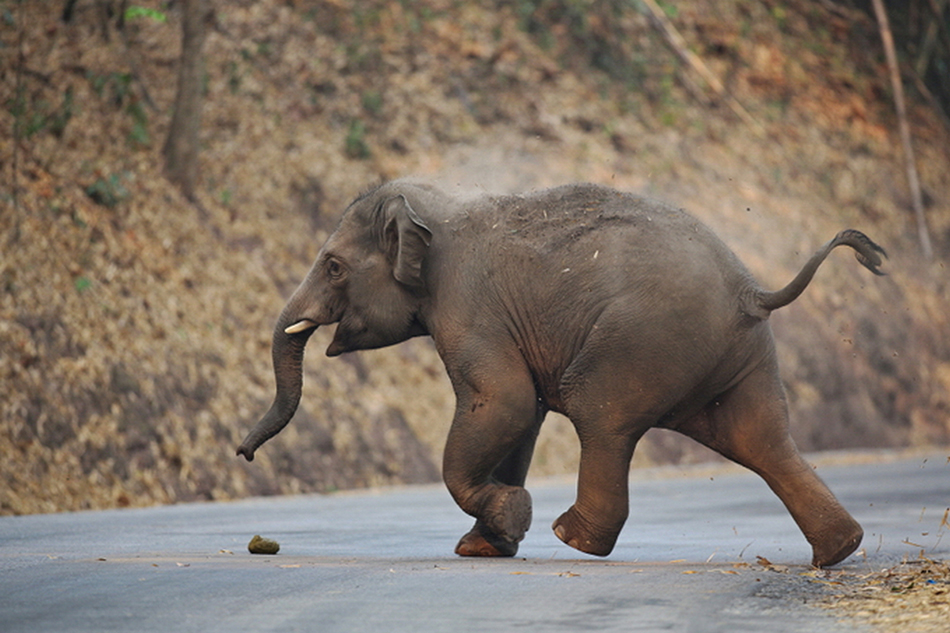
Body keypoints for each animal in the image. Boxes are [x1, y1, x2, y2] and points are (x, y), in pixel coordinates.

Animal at [234, 179, 888, 568]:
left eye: (334, 267)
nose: (242, 453)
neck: (435, 208)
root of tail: (752, 291)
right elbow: (518, 420)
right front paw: (485, 546)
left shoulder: (469, 308)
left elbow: (505, 403)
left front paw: (506, 522)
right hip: (740, 356)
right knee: (761, 439)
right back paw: (838, 552)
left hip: (639, 343)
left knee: (601, 418)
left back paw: (571, 538)